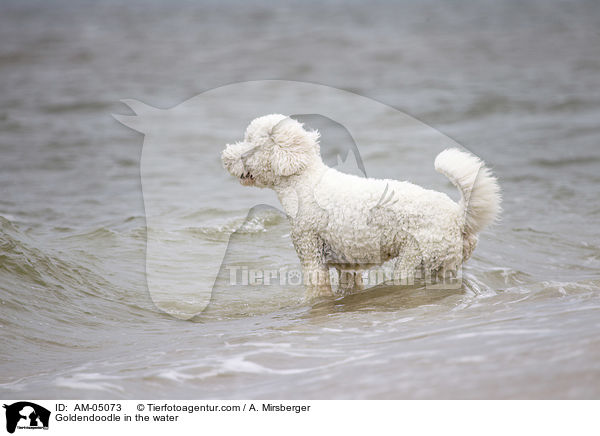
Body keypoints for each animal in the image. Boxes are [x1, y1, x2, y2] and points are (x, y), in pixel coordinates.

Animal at [223, 116, 500, 298]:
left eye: (250, 144)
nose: (225, 157)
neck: (303, 182)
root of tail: (459, 215)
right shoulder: (348, 265)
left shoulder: (311, 253)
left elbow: (318, 290)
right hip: (445, 265)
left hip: (416, 258)